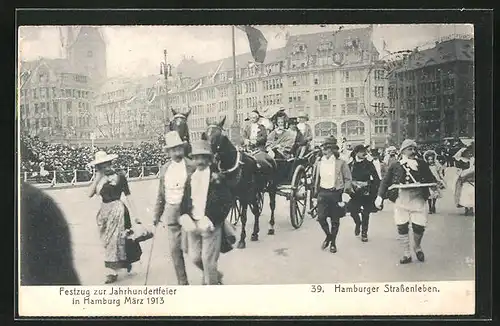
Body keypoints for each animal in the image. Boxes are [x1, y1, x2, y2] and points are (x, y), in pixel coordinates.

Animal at [203, 116, 280, 248]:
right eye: (206, 134)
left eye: (219, 135)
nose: (209, 154)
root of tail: (269, 157)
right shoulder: (232, 197)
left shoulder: (244, 197)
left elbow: (244, 217)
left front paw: (242, 240)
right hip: (255, 193)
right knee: (256, 210)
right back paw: (255, 233)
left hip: (271, 188)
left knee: (272, 205)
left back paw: (271, 227)